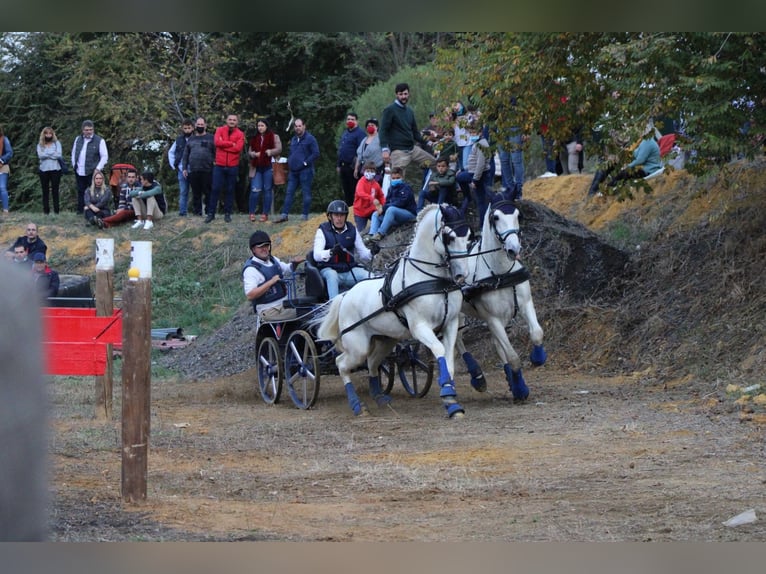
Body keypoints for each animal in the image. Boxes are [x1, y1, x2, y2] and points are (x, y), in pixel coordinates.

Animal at [316, 205, 474, 420]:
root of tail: (346, 295)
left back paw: (379, 397)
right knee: (342, 364)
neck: (431, 279)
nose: (462, 275)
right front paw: (449, 397)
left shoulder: (450, 324)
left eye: (468, 236)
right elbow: (439, 350)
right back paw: (358, 406)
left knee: (372, 363)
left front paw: (451, 399)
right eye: (449, 237)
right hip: (358, 346)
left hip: (385, 341)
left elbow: (448, 360)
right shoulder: (420, 327)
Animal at [460, 196, 548, 402]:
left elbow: (537, 333)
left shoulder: (525, 304)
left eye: (518, 215)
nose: (514, 249)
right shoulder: (493, 319)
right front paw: (521, 389)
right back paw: (477, 377)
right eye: (496, 217)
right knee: (457, 340)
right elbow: (513, 357)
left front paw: (536, 359)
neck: (500, 274)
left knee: (495, 344)